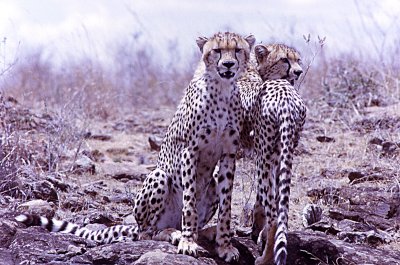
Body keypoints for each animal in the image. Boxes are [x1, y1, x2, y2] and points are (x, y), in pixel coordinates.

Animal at [15, 32, 255, 260]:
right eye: (217, 50)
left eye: (237, 50)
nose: (228, 64)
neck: (222, 89)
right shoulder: (190, 150)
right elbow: (189, 204)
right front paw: (188, 242)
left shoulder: (228, 154)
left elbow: (226, 206)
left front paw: (225, 245)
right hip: (159, 177)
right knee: (148, 232)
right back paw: (174, 233)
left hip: (210, 182)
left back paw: (205, 232)